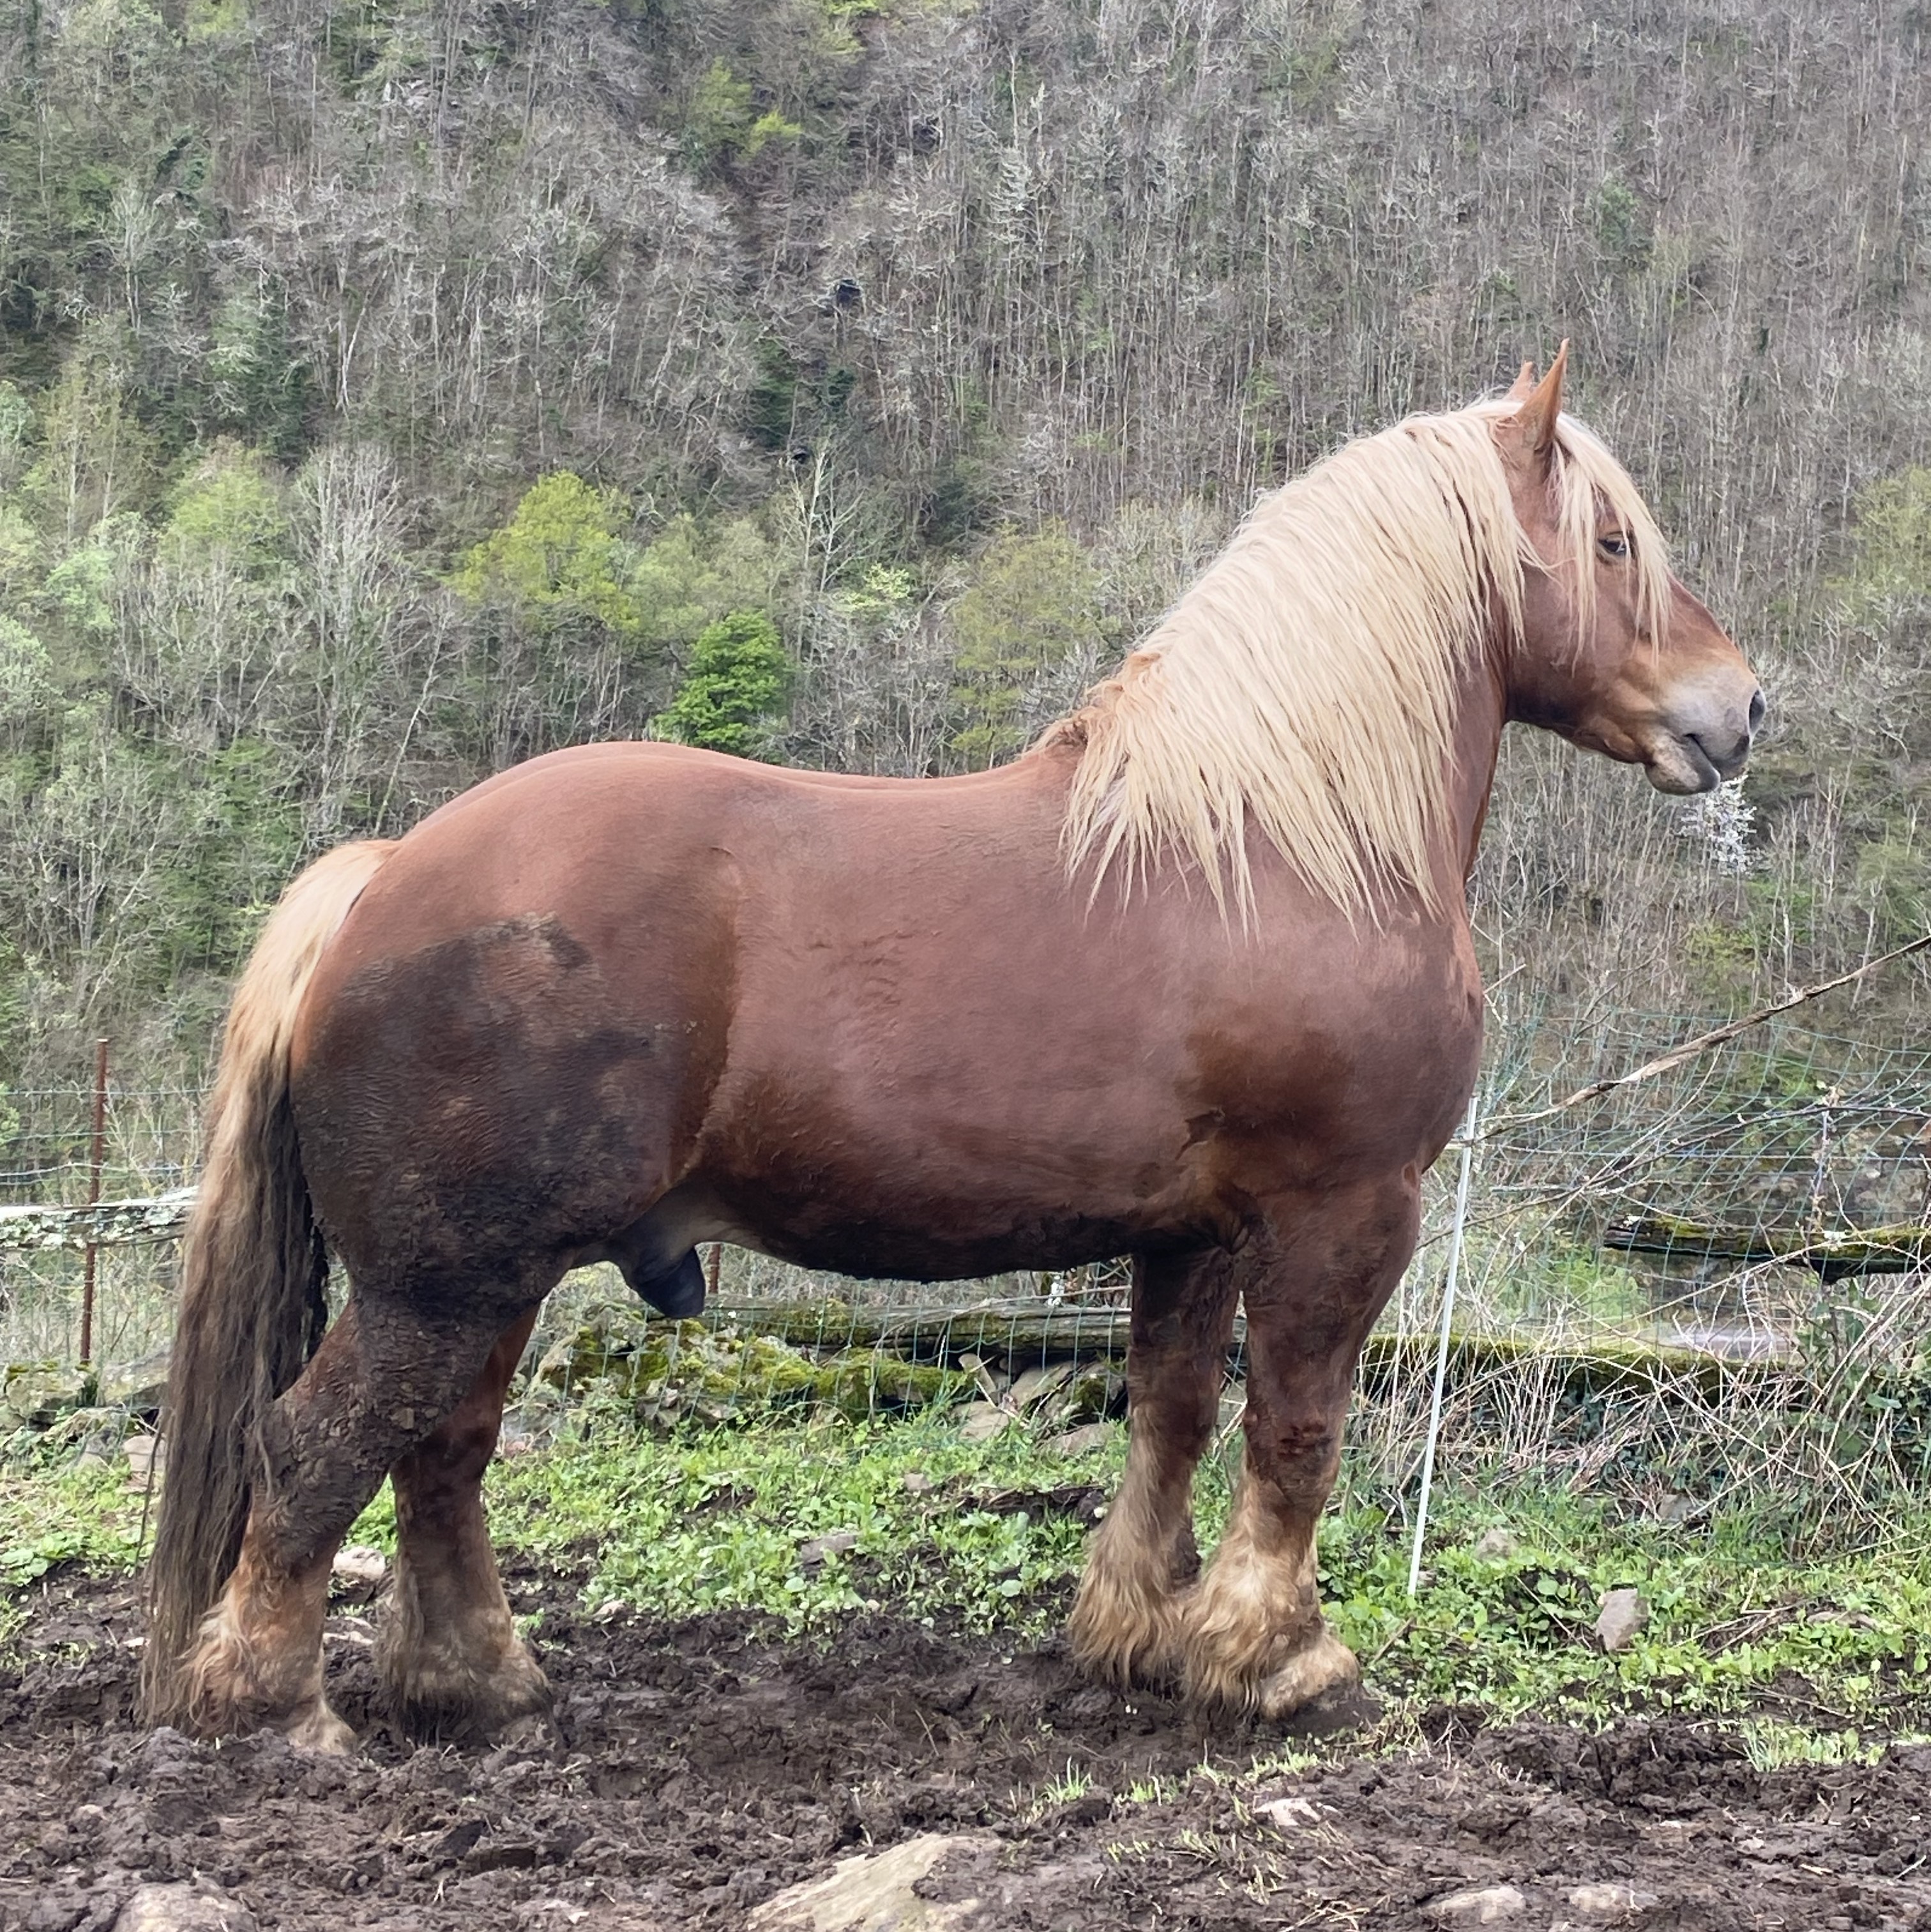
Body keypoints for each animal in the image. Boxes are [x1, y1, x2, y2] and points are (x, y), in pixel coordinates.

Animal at [142, 348, 1760, 1750]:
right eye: (1614, 539)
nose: (1742, 705)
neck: (1277, 846)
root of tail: (382, 877)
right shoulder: (1338, 1212)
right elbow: (1297, 1427)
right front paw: (1279, 1660)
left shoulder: (1192, 1232)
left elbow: (1174, 1411)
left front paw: (1138, 1633)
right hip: (441, 1282)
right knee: (320, 1448)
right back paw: (275, 1705)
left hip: (487, 1281)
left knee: (440, 1455)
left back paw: (477, 1682)